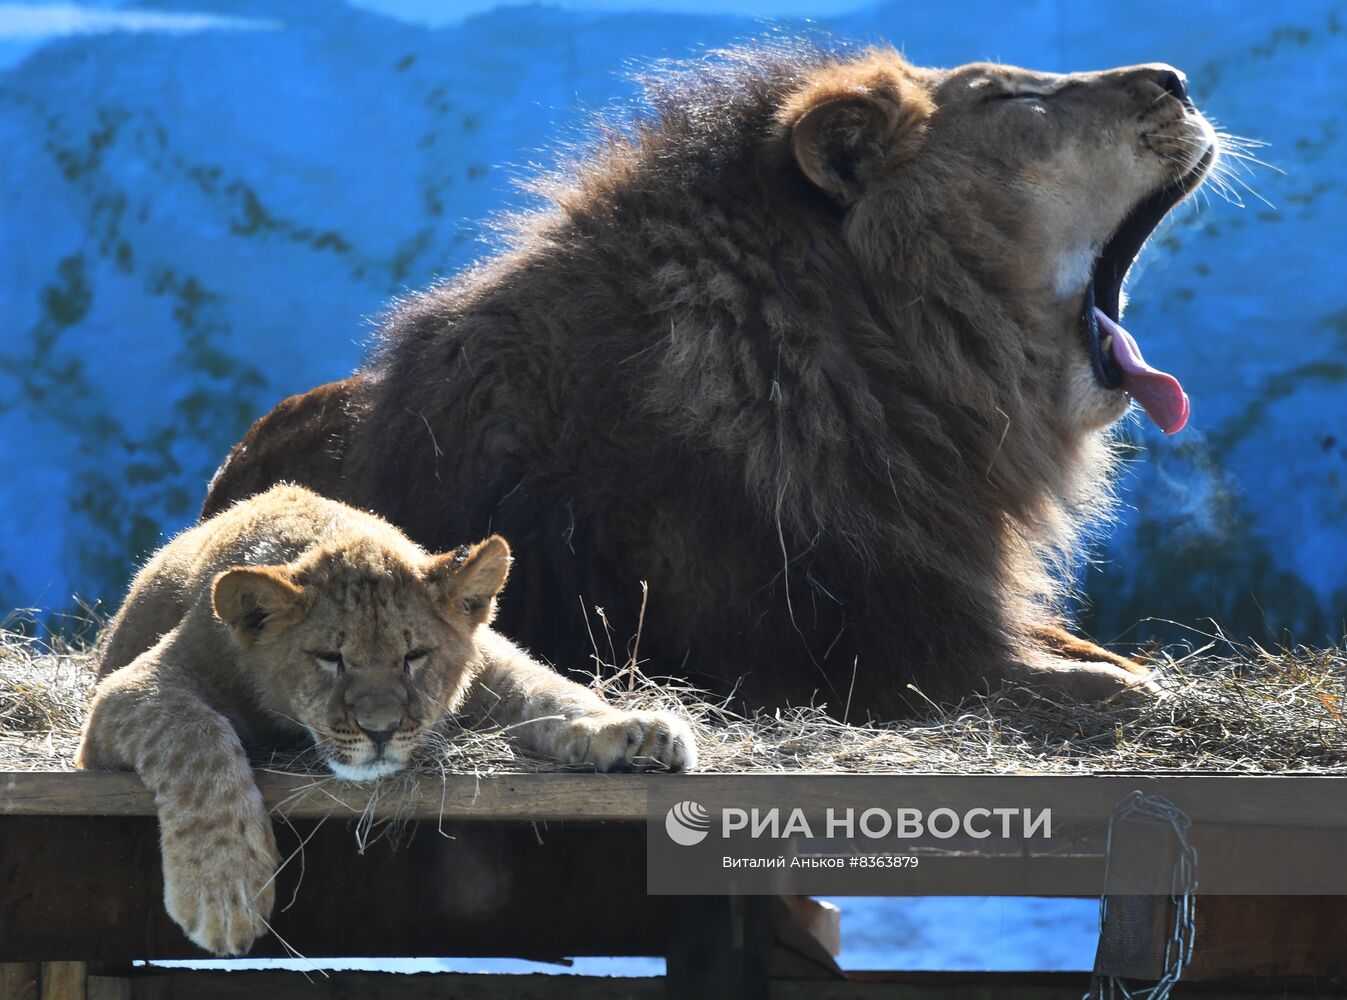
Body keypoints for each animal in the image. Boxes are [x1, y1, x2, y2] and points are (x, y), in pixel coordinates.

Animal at [204, 47, 1217, 722]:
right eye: (1013, 97)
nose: (1177, 79)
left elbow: (1078, 647)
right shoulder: (817, 653)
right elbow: (1076, 680)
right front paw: (1129, 684)